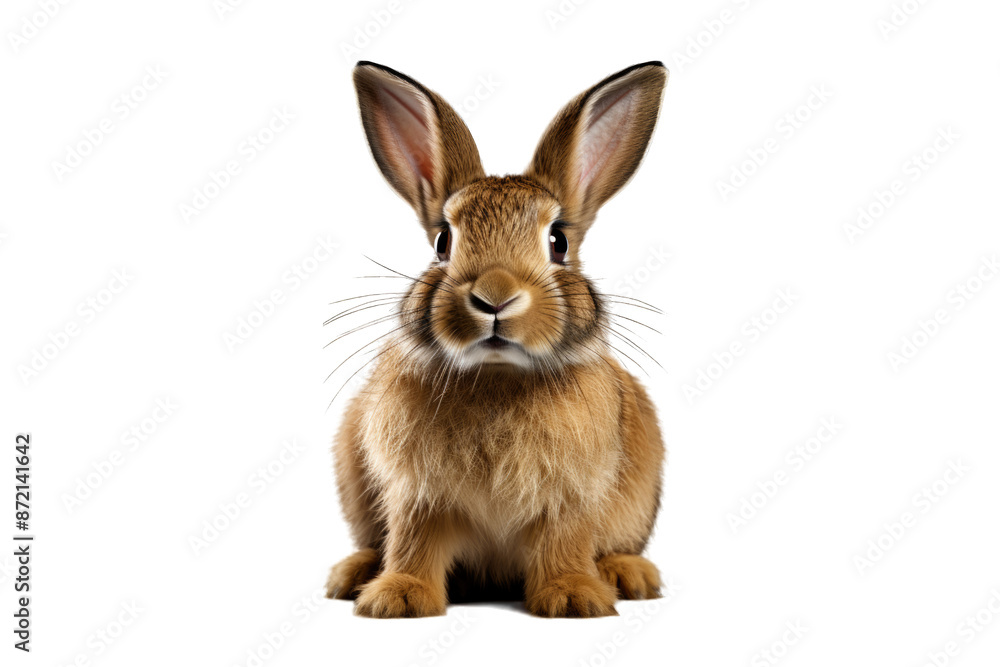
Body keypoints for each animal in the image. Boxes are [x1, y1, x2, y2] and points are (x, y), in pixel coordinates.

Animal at [325, 61, 668, 618]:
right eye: (443, 241)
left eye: (558, 241)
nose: (494, 297)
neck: (497, 375)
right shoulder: (418, 494)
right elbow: (414, 542)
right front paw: (399, 598)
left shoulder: (570, 496)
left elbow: (565, 541)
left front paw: (574, 598)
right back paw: (353, 574)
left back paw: (628, 574)